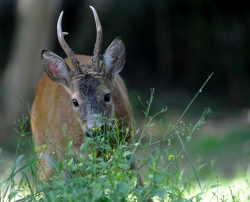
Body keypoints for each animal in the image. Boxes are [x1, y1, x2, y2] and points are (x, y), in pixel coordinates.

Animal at [30, 6, 145, 188]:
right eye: (75, 101)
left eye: (107, 95)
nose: (96, 129)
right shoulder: (69, 152)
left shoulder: (128, 143)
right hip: (42, 146)